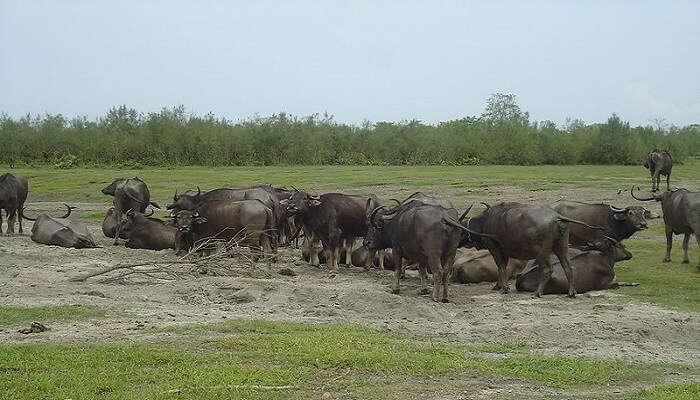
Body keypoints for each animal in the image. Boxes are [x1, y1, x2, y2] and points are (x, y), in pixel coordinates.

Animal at [462, 203, 604, 296]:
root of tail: (556, 217)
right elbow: (502, 267)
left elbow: (501, 267)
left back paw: (538, 292)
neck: (484, 222)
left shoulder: (494, 247)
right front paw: (499, 286)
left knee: (547, 270)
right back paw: (571, 292)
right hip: (562, 247)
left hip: (541, 253)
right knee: (568, 267)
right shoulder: (505, 251)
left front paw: (504, 288)